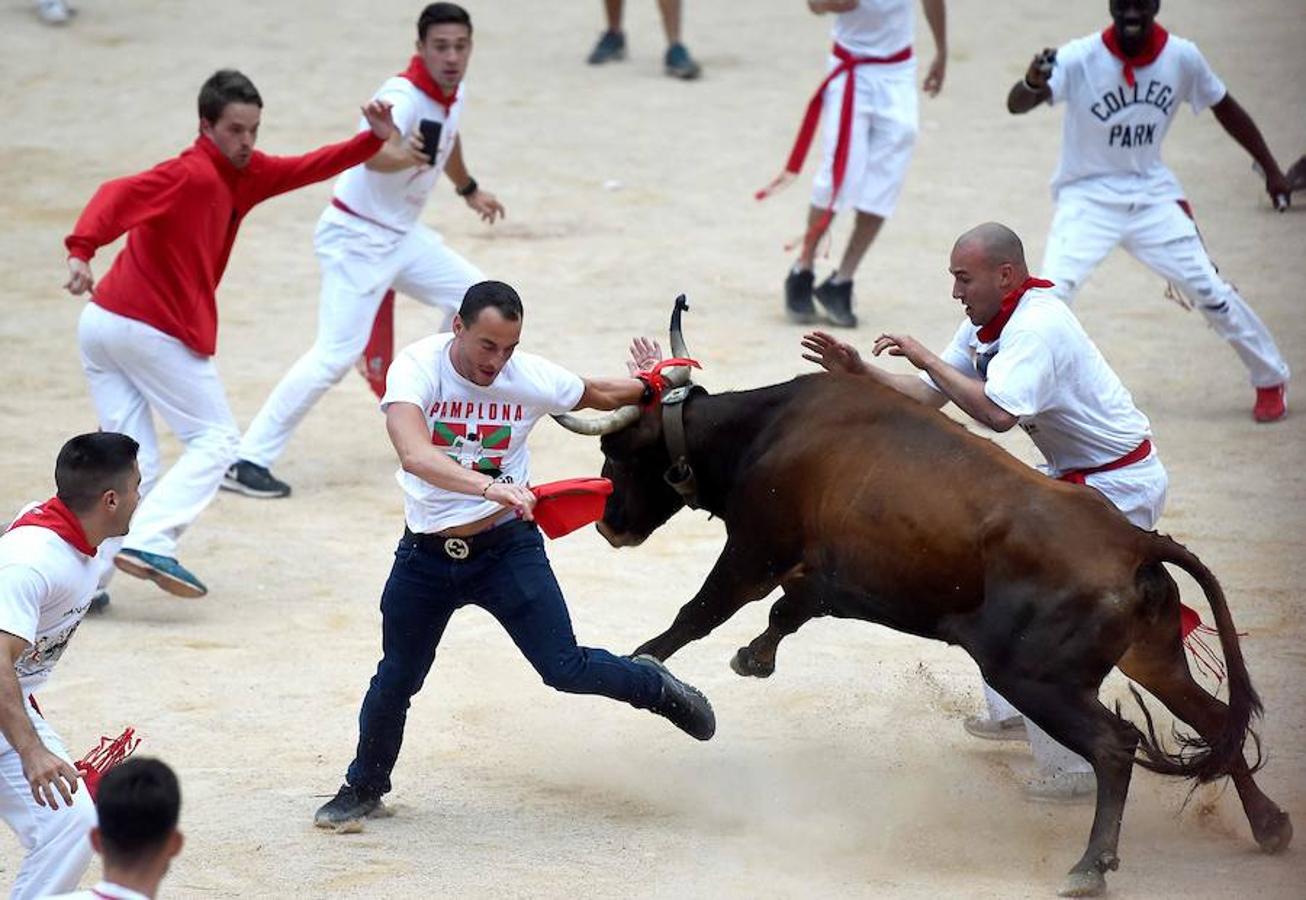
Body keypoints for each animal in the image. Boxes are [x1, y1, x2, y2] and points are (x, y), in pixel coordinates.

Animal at [556, 301, 1290, 898]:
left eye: (617, 451)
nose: (608, 524)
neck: (767, 429)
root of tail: (1134, 541)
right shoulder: (832, 577)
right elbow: (787, 611)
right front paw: (752, 660)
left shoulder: (754, 550)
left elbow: (700, 613)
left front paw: (646, 662)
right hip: (1152, 656)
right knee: (1216, 719)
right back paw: (1270, 826)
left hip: (1034, 676)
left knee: (1116, 747)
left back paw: (1090, 866)